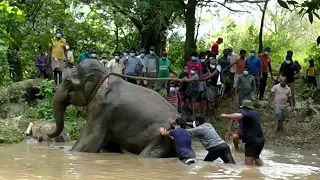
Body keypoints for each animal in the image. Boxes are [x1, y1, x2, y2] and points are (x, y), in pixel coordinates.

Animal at [46, 59, 186, 158]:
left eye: (68, 81)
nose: (48, 134)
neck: (104, 76)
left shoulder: (101, 109)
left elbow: (89, 142)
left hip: (162, 135)